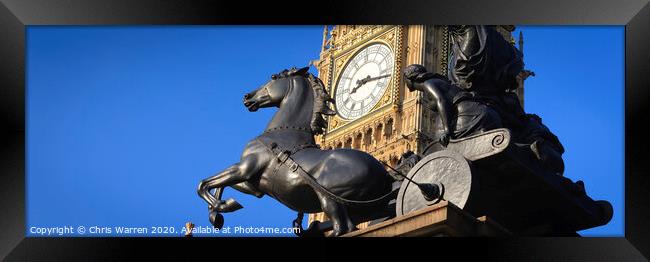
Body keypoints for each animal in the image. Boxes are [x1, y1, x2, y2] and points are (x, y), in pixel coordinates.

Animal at [195, 66, 392, 236]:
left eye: (274, 77)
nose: (247, 96)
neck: (283, 132)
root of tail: (385, 175)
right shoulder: (254, 183)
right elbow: (219, 185)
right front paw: (218, 212)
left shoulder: (245, 168)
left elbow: (203, 184)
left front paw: (222, 207)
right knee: (349, 226)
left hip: (330, 196)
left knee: (340, 227)